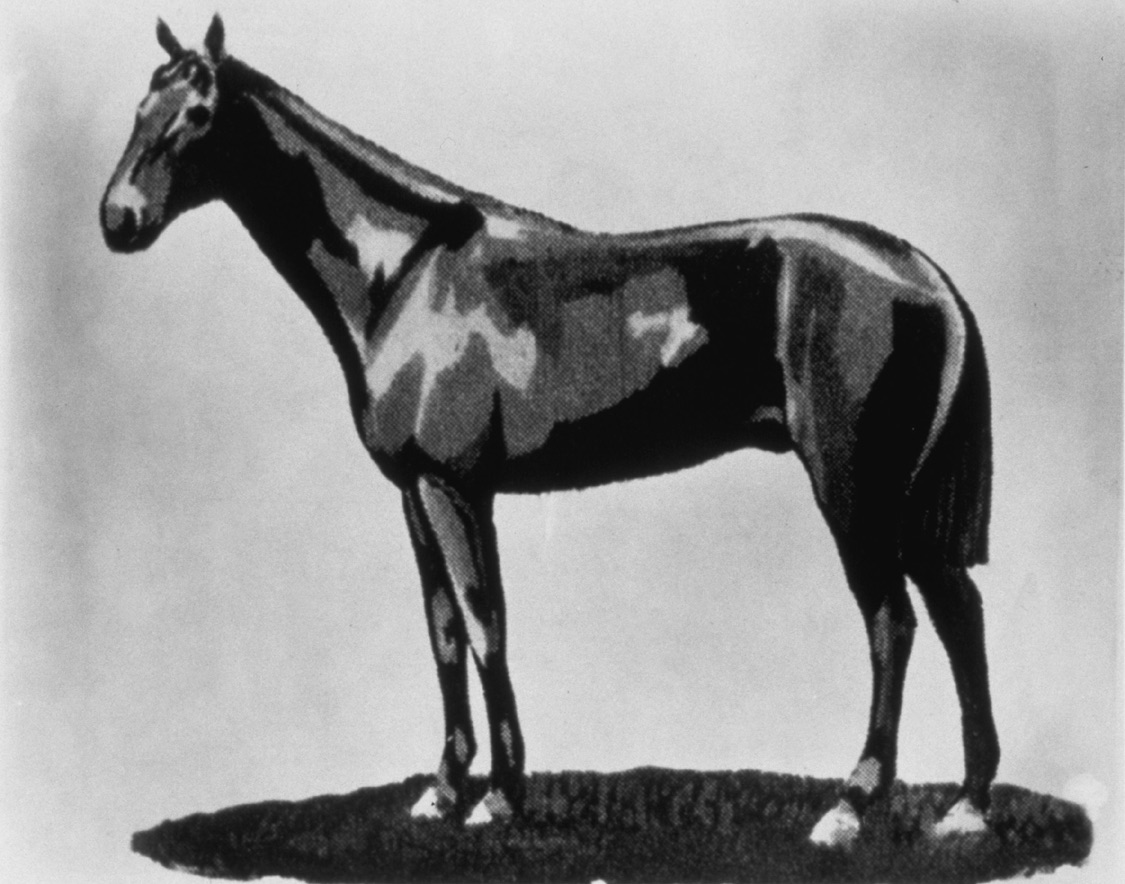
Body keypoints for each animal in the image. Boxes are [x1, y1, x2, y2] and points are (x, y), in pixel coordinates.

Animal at [101, 15, 999, 846]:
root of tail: (925, 275)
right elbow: (442, 635)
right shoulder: (413, 495)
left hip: (854, 492)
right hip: (903, 502)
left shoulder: (456, 489)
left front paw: (498, 798)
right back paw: (966, 806)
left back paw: (851, 805)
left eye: (200, 112)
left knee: (891, 625)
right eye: (142, 104)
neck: (403, 272)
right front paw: (440, 791)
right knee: (957, 612)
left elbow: (484, 625)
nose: (119, 219)